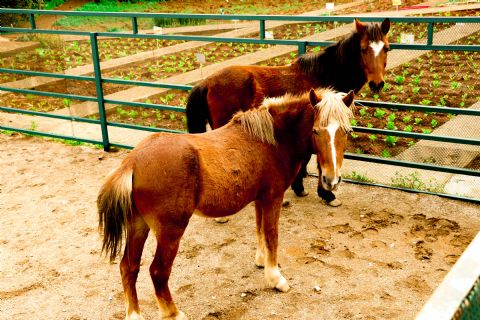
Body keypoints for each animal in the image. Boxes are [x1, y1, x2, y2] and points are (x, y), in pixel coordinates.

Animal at [97, 87, 354, 320]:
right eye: (315, 131)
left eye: (346, 131)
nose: (331, 180)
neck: (272, 139)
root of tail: (132, 162)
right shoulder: (273, 197)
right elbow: (272, 234)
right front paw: (276, 278)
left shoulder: (259, 199)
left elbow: (260, 230)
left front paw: (261, 261)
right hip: (170, 231)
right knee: (158, 271)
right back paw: (173, 313)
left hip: (138, 225)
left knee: (129, 266)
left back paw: (135, 314)